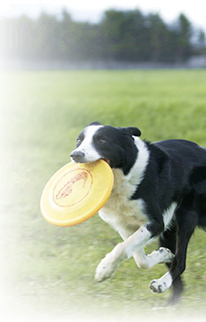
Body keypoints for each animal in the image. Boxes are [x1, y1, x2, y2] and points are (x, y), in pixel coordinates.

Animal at [69, 121, 206, 304]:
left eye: (102, 141)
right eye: (79, 141)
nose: (75, 155)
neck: (124, 175)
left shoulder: (156, 223)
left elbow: (122, 248)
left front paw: (104, 269)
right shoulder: (125, 225)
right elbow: (139, 258)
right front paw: (163, 254)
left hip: (186, 217)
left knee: (181, 261)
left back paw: (161, 284)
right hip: (170, 231)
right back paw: (170, 303)